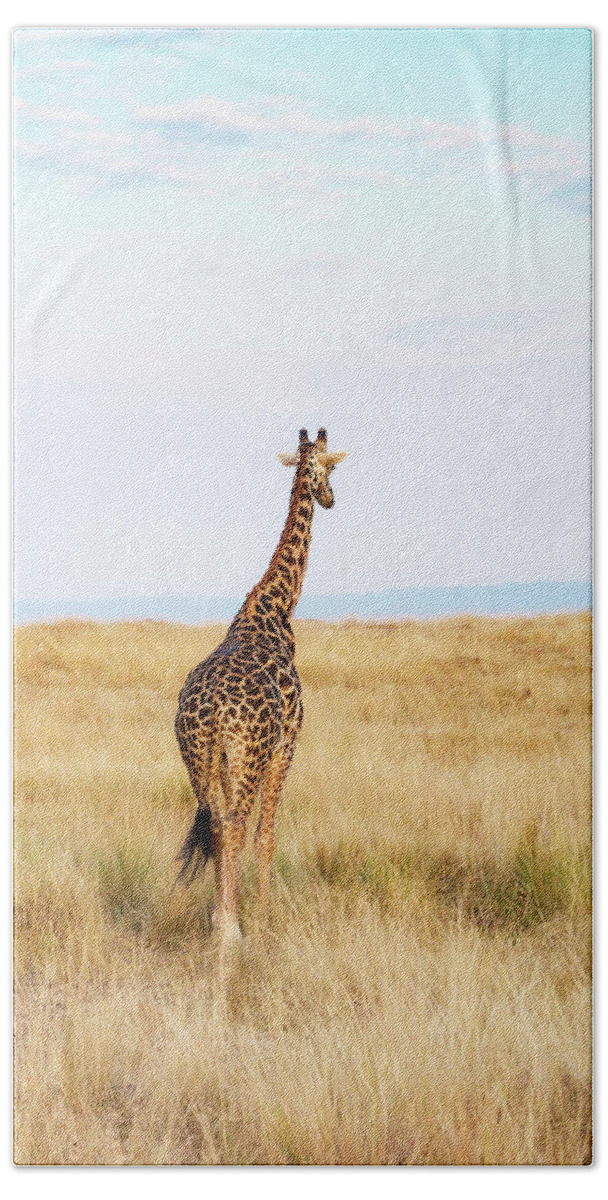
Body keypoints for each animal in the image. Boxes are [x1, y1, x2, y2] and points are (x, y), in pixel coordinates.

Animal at [173, 427, 350, 940]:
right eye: (331, 467)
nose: (330, 498)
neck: (276, 606)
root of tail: (212, 707)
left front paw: (231, 913)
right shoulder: (287, 742)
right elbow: (266, 835)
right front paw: (265, 918)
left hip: (199, 756)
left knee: (215, 824)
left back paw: (220, 920)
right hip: (248, 754)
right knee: (235, 826)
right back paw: (232, 928)